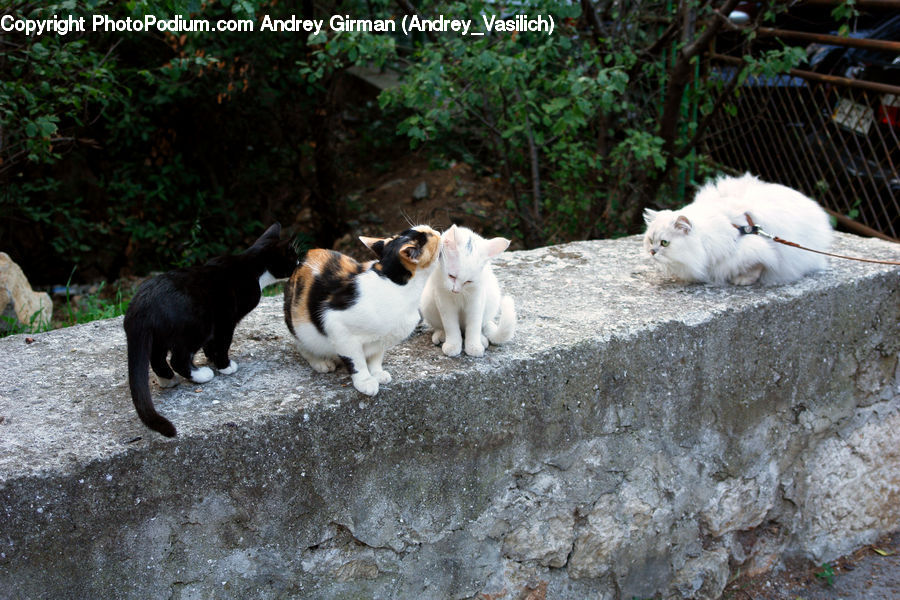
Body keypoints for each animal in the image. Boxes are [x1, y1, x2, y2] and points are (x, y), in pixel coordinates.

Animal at [123, 220, 298, 436]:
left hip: (160, 334)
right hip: (197, 325)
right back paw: (201, 375)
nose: (301, 264)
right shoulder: (226, 318)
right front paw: (225, 366)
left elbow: (212, 344)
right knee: (178, 359)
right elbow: (223, 342)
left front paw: (211, 357)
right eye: (293, 258)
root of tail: (140, 305)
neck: (253, 266)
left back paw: (168, 379)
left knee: (156, 358)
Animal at [284, 223, 442, 396]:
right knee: (302, 346)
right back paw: (320, 362)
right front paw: (365, 380)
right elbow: (356, 360)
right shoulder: (338, 326)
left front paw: (377, 372)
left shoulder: (382, 339)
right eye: (428, 235)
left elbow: (376, 355)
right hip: (299, 326)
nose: (435, 229)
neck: (396, 285)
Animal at [420, 224, 516, 356]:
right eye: (451, 276)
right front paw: (453, 345)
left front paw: (474, 346)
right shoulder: (444, 300)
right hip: (427, 303)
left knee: (481, 325)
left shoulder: (477, 299)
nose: (455, 290)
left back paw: (481, 339)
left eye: (468, 281)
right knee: (441, 326)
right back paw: (441, 335)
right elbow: (450, 324)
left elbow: (474, 325)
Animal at [644, 173, 832, 286]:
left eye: (664, 243)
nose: (652, 252)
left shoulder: (755, 248)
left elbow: (756, 266)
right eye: (651, 241)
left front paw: (742, 279)